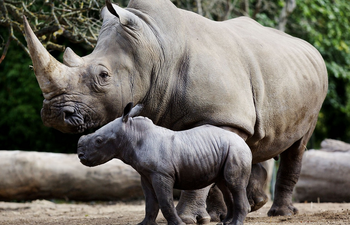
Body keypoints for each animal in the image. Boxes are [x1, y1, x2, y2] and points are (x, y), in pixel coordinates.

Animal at [77, 103, 252, 225]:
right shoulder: (146, 174)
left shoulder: (161, 174)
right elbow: (150, 202)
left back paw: (235, 223)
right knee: (225, 185)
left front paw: (179, 224)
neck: (132, 135)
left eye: (99, 140)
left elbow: (165, 201)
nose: (80, 155)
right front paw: (144, 224)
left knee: (234, 184)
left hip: (236, 150)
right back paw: (226, 223)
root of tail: (244, 143)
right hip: (229, 149)